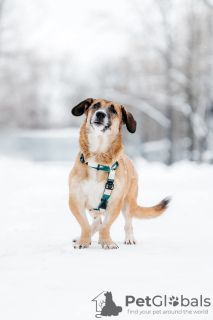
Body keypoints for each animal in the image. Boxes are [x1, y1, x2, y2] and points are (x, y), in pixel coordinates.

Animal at [68, 99, 170, 249]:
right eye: (96, 106)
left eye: (113, 110)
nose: (100, 114)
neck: (98, 158)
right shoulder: (76, 200)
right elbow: (85, 224)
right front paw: (83, 241)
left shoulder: (115, 202)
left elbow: (106, 225)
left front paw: (107, 242)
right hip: (92, 207)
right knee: (96, 222)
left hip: (128, 203)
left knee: (127, 223)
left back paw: (129, 238)